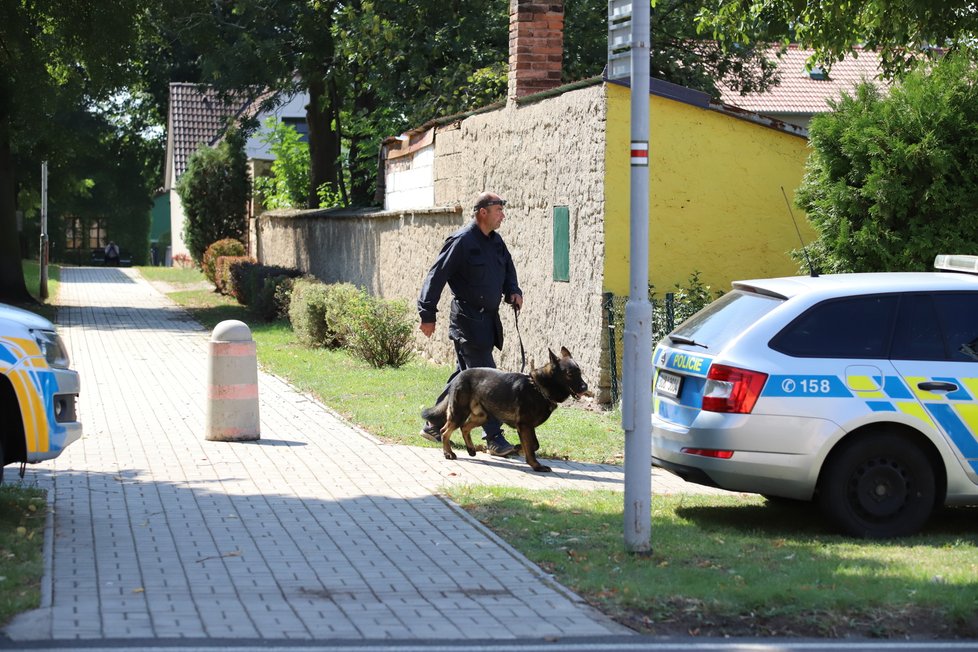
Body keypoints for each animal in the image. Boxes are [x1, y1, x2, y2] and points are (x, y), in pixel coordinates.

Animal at [420, 348, 588, 472]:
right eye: (570, 374)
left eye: (579, 372)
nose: (585, 387)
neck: (538, 387)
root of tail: (459, 376)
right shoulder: (525, 426)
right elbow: (532, 447)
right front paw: (535, 465)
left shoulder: (527, 427)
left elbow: (534, 445)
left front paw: (520, 449)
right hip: (460, 413)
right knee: (445, 431)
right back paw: (448, 452)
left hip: (482, 417)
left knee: (465, 427)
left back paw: (470, 449)